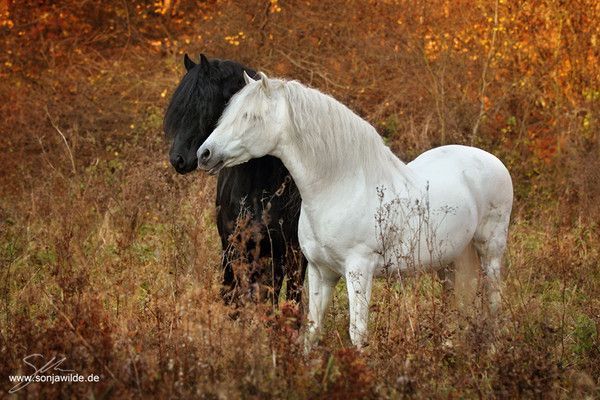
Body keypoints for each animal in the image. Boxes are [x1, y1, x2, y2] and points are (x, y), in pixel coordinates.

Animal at [196, 73, 510, 348]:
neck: (340, 187)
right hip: (449, 260)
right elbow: (312, 329)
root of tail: (493, 161)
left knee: (494, 301)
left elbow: (357, 333)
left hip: (490, 252)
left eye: (250, 116)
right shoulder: (320, 271)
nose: (204, 154)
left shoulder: (359, 271)